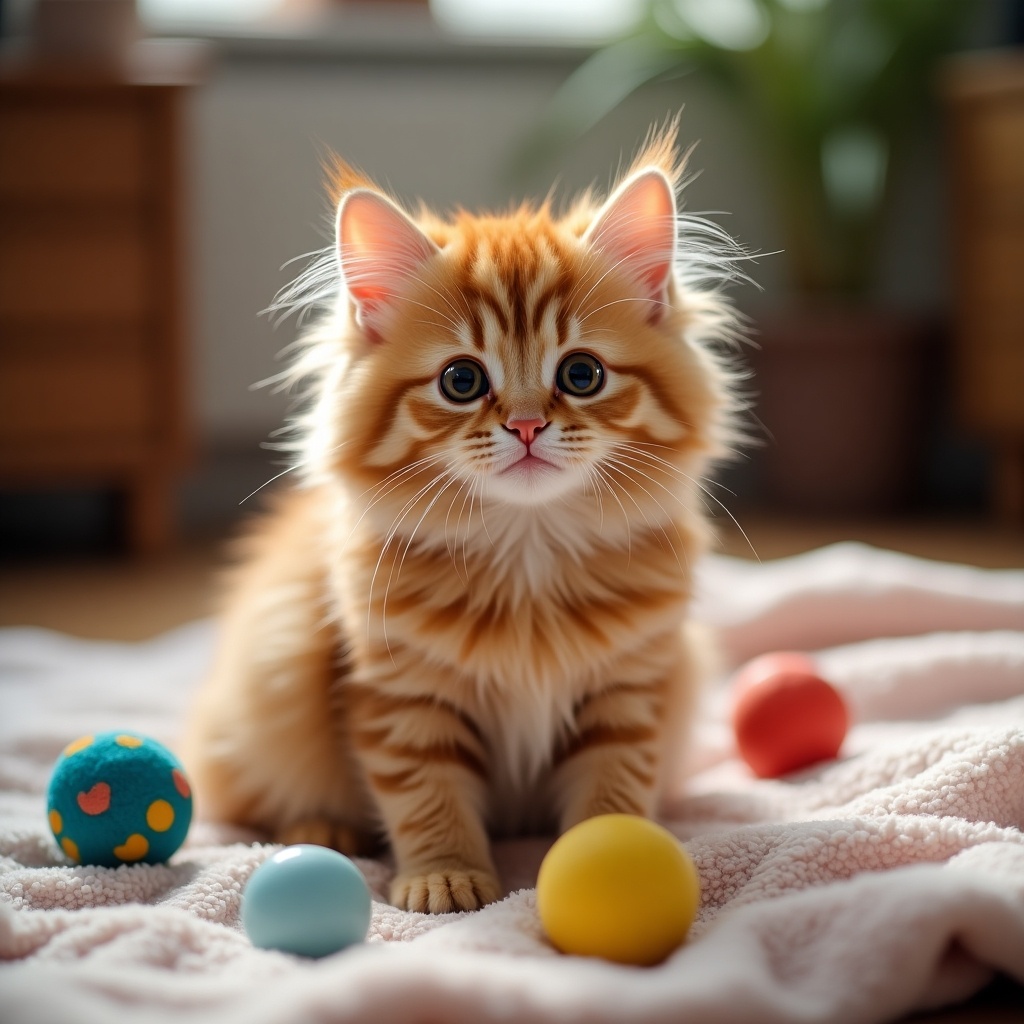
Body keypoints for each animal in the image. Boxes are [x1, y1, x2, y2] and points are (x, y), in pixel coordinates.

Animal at [184, 117, 741, 913]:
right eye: (461, 381)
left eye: (582, 374)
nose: (528, 426)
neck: (528, 555)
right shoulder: (399, 698)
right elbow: (427, 795)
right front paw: (445, 876)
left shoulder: (629, 691)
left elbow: (613, 790)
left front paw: (615, 859)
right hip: (265, 691)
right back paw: (323, 829)